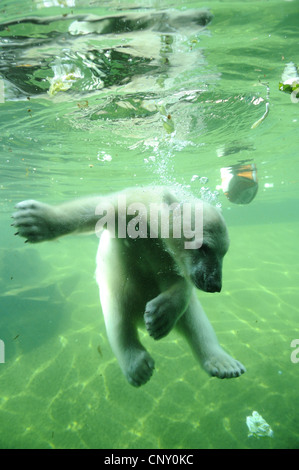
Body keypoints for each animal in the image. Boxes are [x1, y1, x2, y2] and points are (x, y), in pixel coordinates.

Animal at [11, 185, 246, 388]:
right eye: (204, 247)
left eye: (224, 252)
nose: (215, 285)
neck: (150, 230)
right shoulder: (129, 211)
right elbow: (96, 208)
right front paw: (32, 219)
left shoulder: (167, 259)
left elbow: (180, 286)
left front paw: (159, 317)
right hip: (114, 290)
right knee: (118, 322)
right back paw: (138, 366)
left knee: (197, 323)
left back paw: (225, 364)